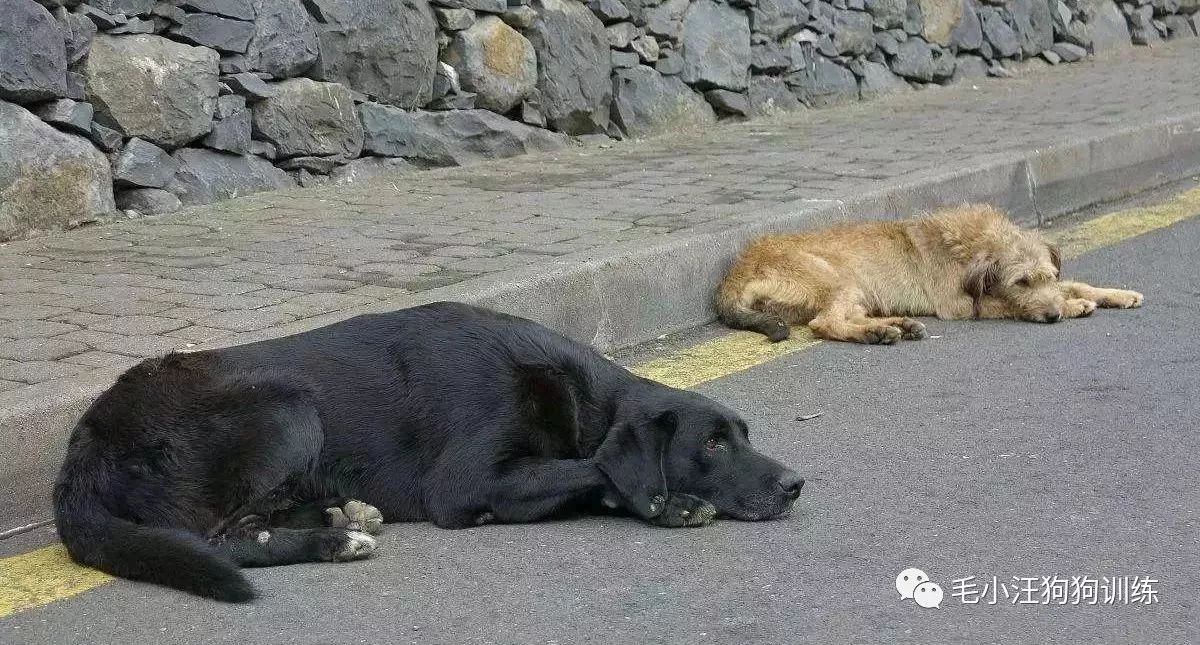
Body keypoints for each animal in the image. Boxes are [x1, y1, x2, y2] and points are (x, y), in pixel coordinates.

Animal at [58, 299, 806, 597]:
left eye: (743, 434)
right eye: (713, 443)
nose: (795, 483)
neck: (580, 397)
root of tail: (84, 443)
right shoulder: (468, 482)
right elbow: (592, 468)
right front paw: (668, 503)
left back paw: (340, 513)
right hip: (284, 408)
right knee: (221, 537)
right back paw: (332, 538)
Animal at [710, 205, 1142, 342]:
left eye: (1047, 276)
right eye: (1021, 282)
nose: (1052, 316)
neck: (973, 242)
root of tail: (737, 269)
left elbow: (1076, 282)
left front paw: (1116, 294)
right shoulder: (961, 306)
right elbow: (1007, 305)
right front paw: (1073, 307)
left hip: (856, 291)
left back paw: (897, 325)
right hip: (839, 279)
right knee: (825, 323)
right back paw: (877, 334)